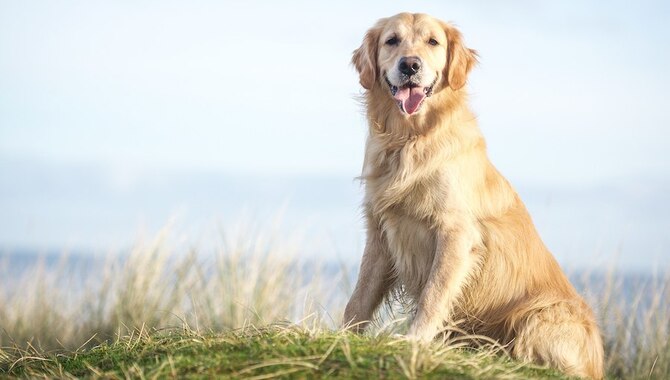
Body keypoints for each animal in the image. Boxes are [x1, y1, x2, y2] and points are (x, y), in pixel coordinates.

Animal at [344, 13, 608, 378]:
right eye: (392, 41)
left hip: (537, 316)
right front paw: (339, 335)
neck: (410, 138)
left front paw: (413, 341)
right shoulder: (381, 231)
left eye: (433, 42)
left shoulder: (455, 233)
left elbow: (433, 295)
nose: (410, 65)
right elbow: (360, 296)